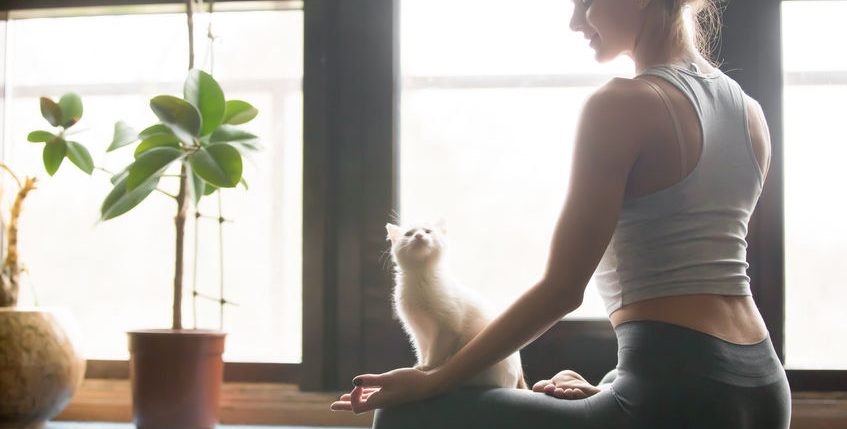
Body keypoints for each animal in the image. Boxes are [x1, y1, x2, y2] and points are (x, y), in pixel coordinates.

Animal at [388, 221, 528, 388]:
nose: (419, 236)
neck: (420, 277)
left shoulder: (448, 327)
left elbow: (437, 351)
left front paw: (428, 367)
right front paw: (421, 364)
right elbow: (423, 350)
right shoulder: (418, 332)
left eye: (428, 231)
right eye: (408, 234)